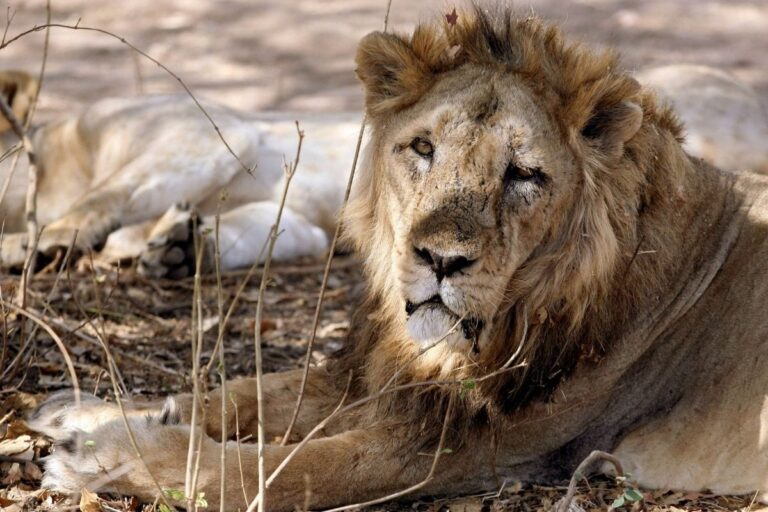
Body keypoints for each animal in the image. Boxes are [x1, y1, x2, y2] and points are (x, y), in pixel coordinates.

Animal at [24, 7, 768, 511]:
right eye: (423, 148)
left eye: (524, 174)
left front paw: (99, 455)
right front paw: (87, 413)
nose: (440, 260)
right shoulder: (374, 377)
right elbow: (237, 393)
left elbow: (266, 471)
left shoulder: (462, 449)